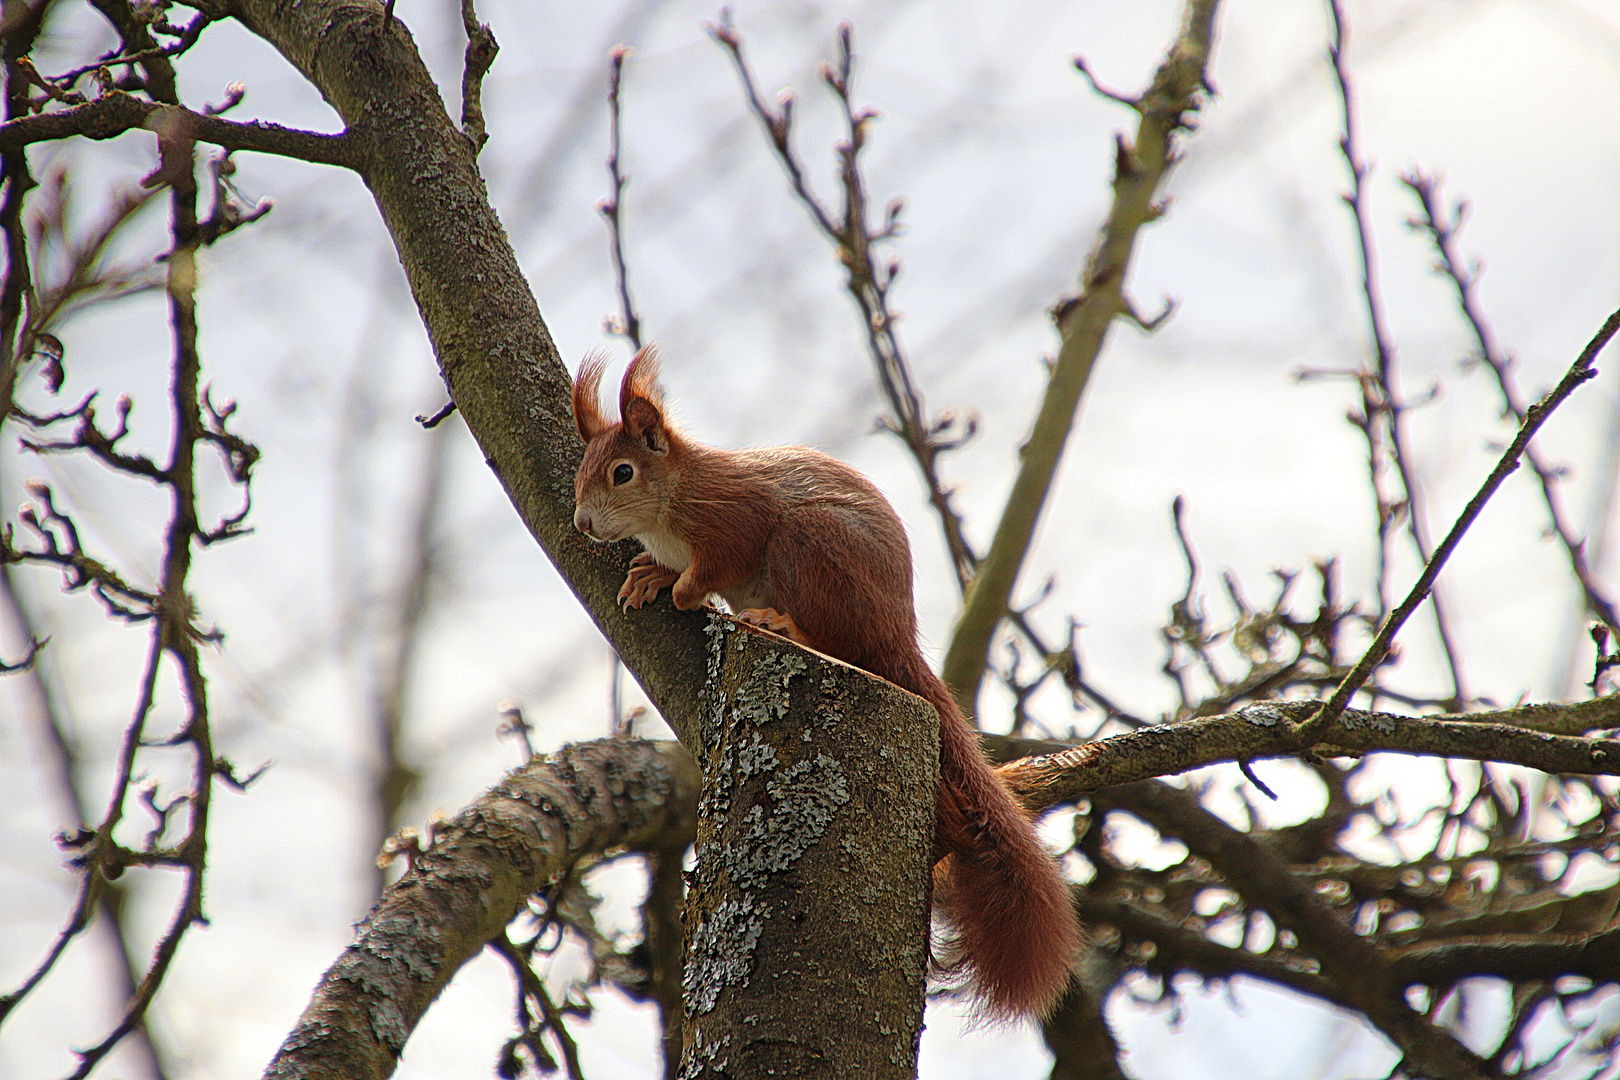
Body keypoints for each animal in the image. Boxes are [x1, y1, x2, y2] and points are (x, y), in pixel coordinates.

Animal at [570, 348, 1075, 1023]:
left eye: (622, 473)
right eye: (583, 471)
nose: (583, 523)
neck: (674, 498)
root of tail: (895, 631)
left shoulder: (734, 521)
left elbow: (708, 571)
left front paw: (680, 588)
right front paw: (649, 574)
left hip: (808, 545)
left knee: (836, 641)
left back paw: (782, 624)